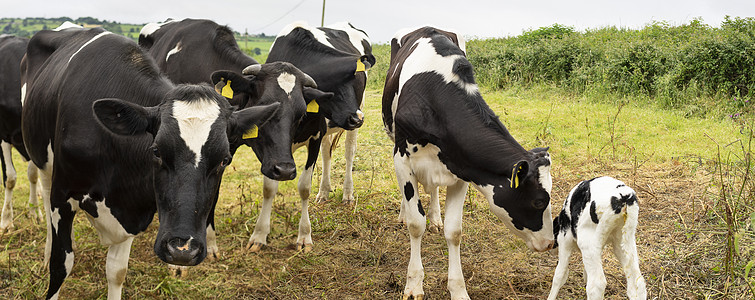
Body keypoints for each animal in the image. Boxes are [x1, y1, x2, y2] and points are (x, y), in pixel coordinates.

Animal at [20, 26, 286, 300]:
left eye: (225, 159)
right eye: (156, 151)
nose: (182, 250)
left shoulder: (131, 211)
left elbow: (117, 271)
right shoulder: (63, 196)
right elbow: (61, 264)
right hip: (44, 164)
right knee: (45, 199)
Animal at [384, 26, 556, 300]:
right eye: (539, 201)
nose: (550, 243)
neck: (435, 100)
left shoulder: (461, 168)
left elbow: (454, 231)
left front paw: (458, 290)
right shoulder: (402, 158)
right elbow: (415, 223)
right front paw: (413, 285)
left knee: (433, 191)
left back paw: (435, 218)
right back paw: (405, 213)